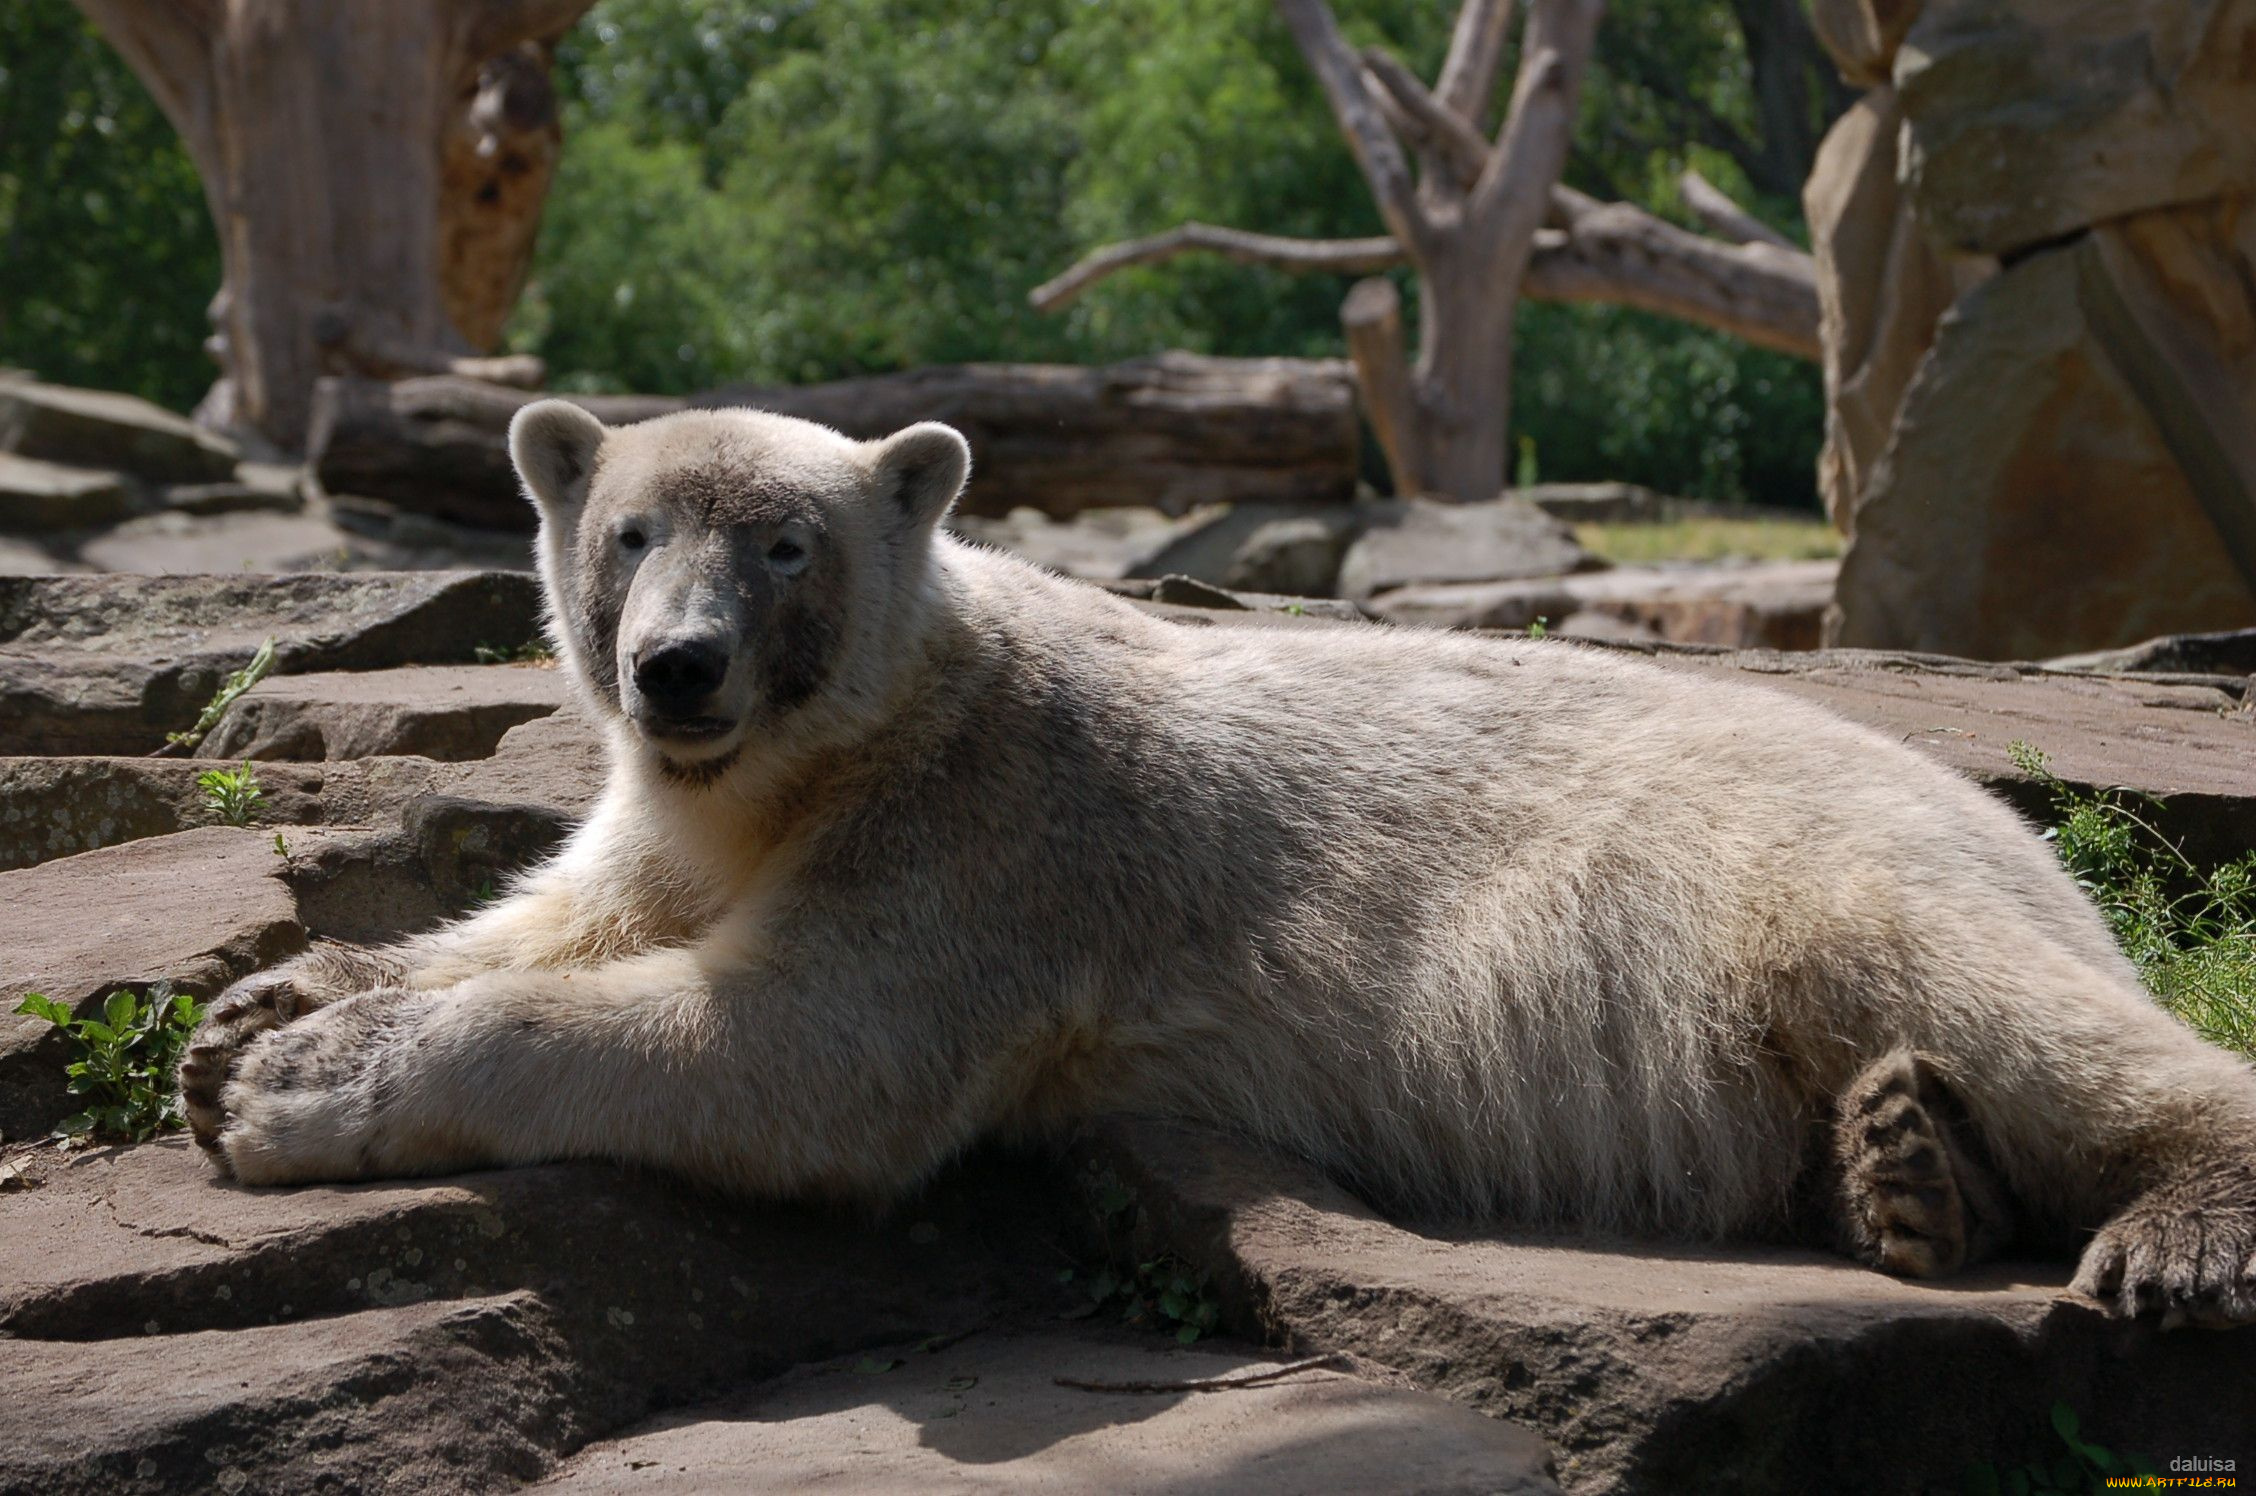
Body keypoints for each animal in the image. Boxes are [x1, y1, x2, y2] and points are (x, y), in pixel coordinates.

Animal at [179, 398, 2256, 1327]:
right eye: (626, 533)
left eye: (782, 544)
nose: (676, 667)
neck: (816, 759)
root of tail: (2006, 816)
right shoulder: (687, 811)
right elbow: (572, 907)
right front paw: (259, 1006)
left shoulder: (992, 837)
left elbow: (793, 1053)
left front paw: (292, 1088)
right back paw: (1903, 1169)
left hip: (1813, 869)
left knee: (2017, 1010)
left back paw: (2161, 1235)